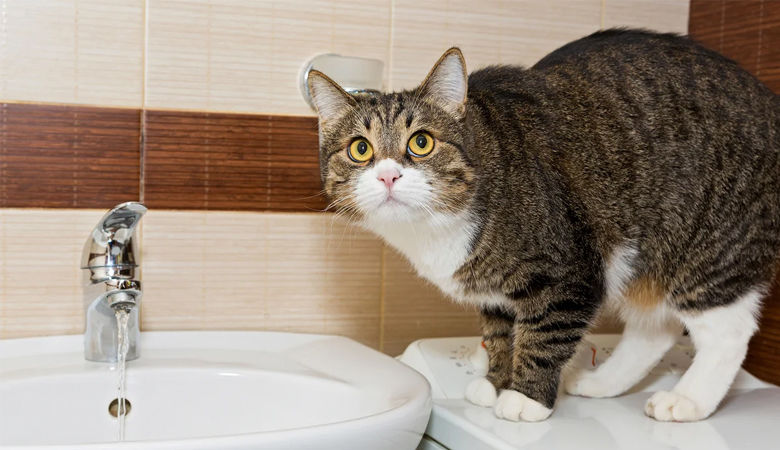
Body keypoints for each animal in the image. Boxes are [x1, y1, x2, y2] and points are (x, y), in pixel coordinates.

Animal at [307, 29, 780, 422]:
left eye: (421, 142)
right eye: (360, 149)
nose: (388, 176)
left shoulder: (569, 272)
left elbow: (543, 335)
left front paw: (525, 398)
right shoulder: (493, 293)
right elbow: (501, 334)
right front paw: (496, 382)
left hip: (709, 245)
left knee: (728, 331)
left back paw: (687, 400)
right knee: (655, 328)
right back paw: (600, 382)